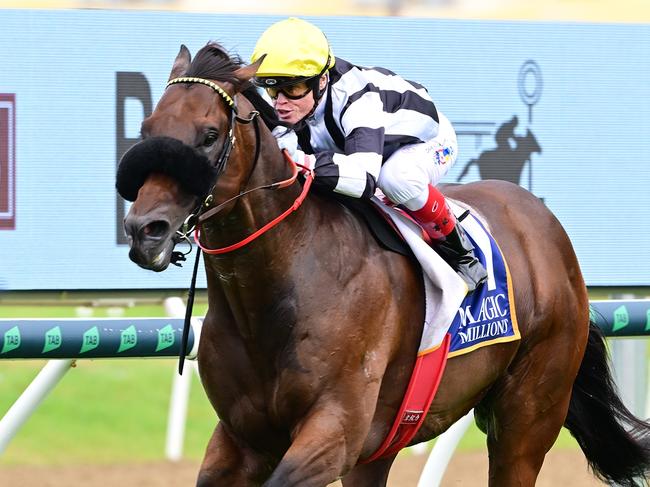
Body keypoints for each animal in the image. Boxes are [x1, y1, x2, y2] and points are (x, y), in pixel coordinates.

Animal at [117, 43, 648, 486]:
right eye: (146, 131)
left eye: (209, 135)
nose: (145, 231)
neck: (281, 287)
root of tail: (546, 227)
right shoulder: (241, 437)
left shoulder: (334, 432)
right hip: (386, 443)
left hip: (527, 415)